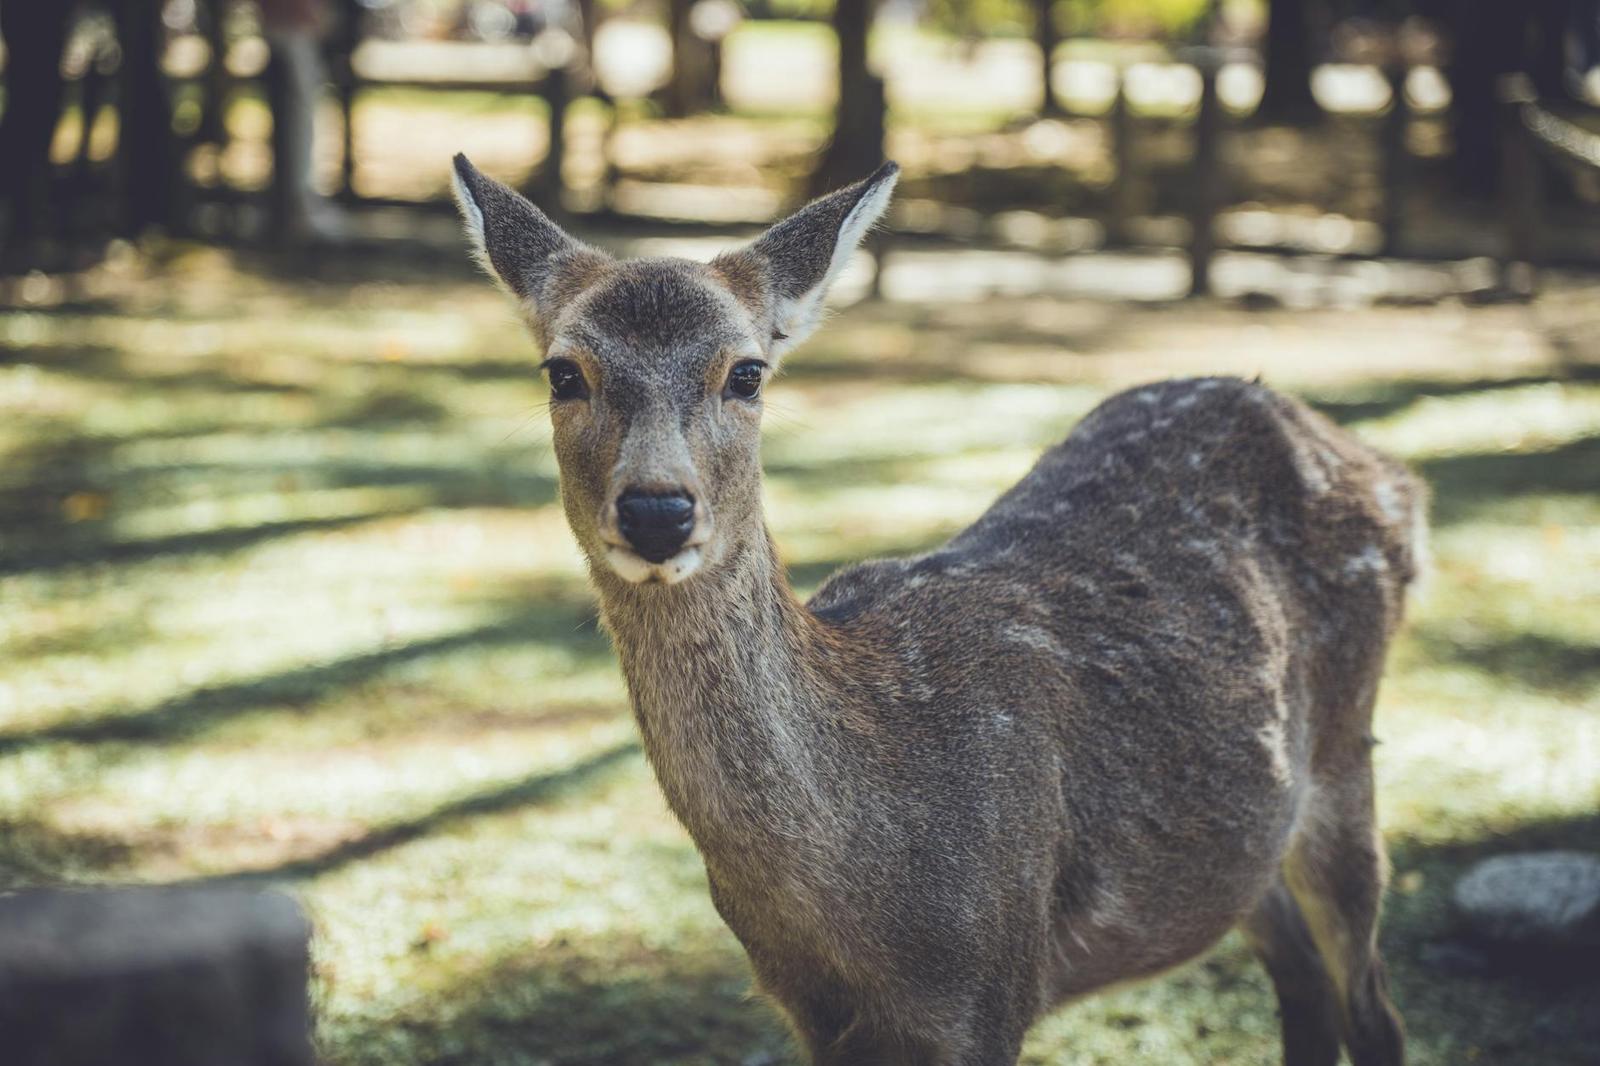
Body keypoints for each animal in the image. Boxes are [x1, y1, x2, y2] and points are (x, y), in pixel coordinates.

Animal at [449, 154, 1423, 1066]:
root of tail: (1392, 473)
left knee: (1374, 1008)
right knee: (1305, 985)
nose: (658, 509)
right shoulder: (812, 1015)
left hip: (1346, 755)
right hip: (1249, 840)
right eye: (563, 372)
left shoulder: (992, 985)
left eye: (748, 373)